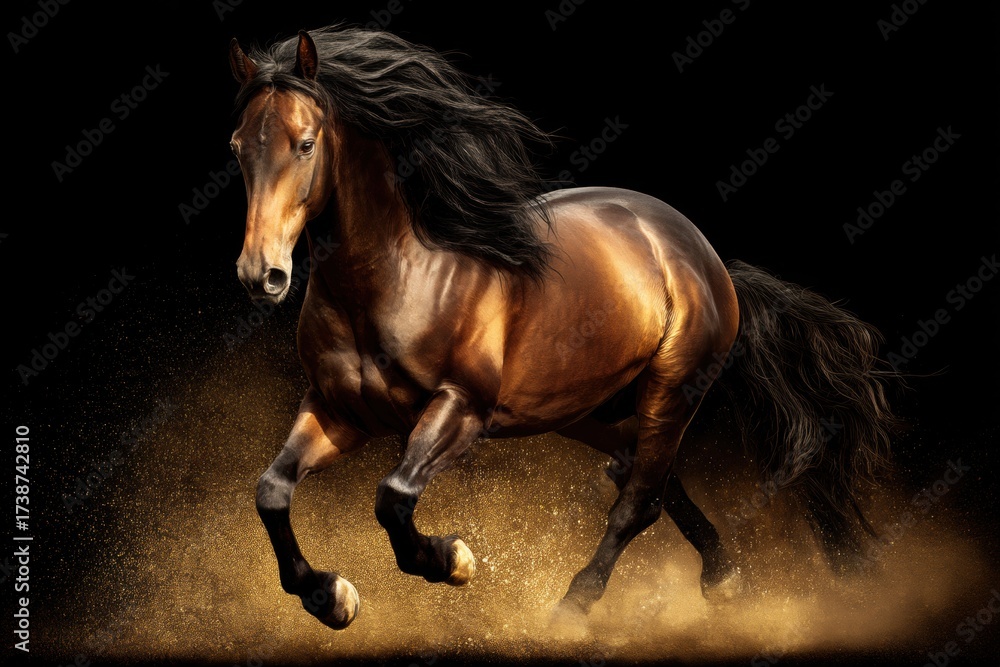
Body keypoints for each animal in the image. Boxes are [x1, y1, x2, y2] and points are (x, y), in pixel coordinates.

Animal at [227, 26, 897, 630]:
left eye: (305, 144)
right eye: (237, 147)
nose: (262, 274)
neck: (394, 278)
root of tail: (707, 260)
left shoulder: (461, 409)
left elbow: (392, 498)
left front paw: (454, 559)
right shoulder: (338, 412)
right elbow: (272, 491)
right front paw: (331, 598)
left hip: (671, 392)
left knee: (638, 500)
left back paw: (573, 607)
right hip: (586, 409)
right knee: (644, 476)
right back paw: (723, 578)